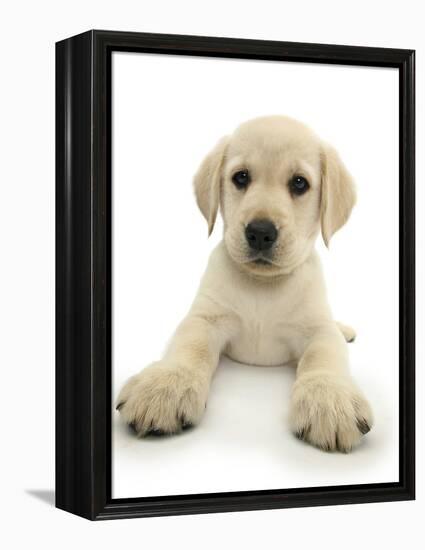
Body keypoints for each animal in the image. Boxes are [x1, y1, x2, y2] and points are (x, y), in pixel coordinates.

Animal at [116, 115, 372, 452]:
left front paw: (329, 397)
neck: (262, 285)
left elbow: (324, 355)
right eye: (241, 177)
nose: (260, 232)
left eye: (299, 183)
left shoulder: (317, 329)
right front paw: (167, 383)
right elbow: (190, 346)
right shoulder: (206, 318)